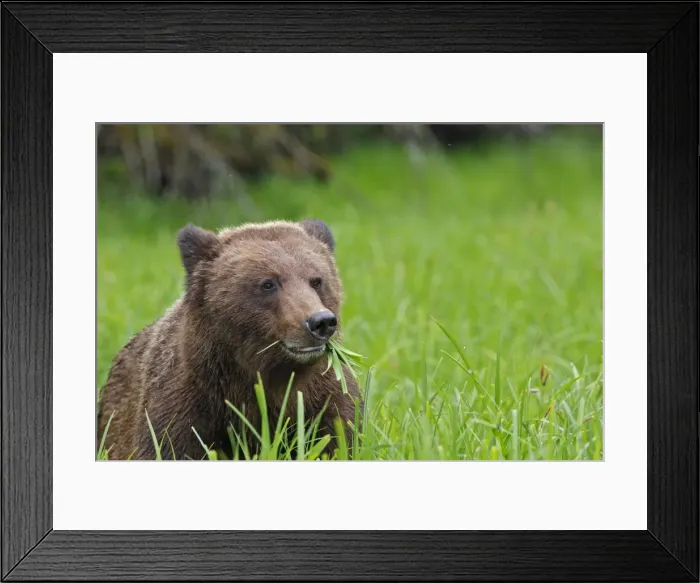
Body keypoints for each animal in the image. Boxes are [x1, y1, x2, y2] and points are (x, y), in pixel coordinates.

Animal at [97, 218, 363, 460]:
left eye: (316, 280)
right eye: (268, 283)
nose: (320, 321)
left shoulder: (325, 399)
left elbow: (339, 438)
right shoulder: (185, 402)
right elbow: (165, 446)